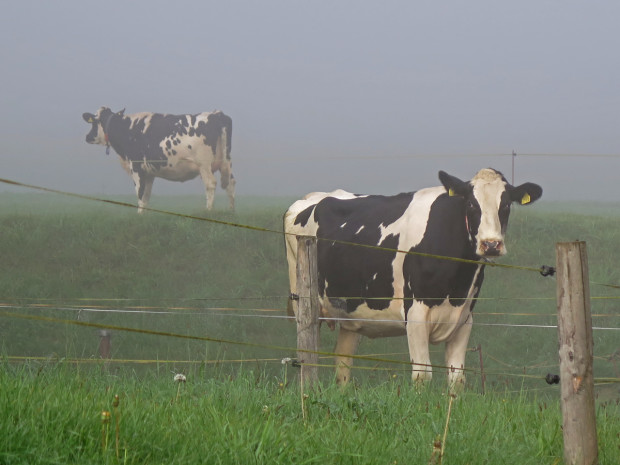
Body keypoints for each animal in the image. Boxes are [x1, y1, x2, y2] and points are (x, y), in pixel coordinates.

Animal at [82, 106, 235, 212]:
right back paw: (231, 211)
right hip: (226, 161)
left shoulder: (136, 167)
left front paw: (139, 215)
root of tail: (217, 114)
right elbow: (147, 195)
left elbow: (140, 192)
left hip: (204, 164)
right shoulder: (149, 172)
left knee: (211, 184)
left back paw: (208, 211)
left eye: (94, 123)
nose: (87, 137)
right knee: (231, 183)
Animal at [286, 169, 544, 390]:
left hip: (351, 311)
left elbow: (457, 378)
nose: (491, 244)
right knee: (308, 354)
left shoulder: (464, 319)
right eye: (471, 203)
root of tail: (310, 198)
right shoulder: (416, 314)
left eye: (506, 204)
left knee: (343, 363)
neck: (457, 285)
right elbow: (422, 374)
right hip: (303, 301)